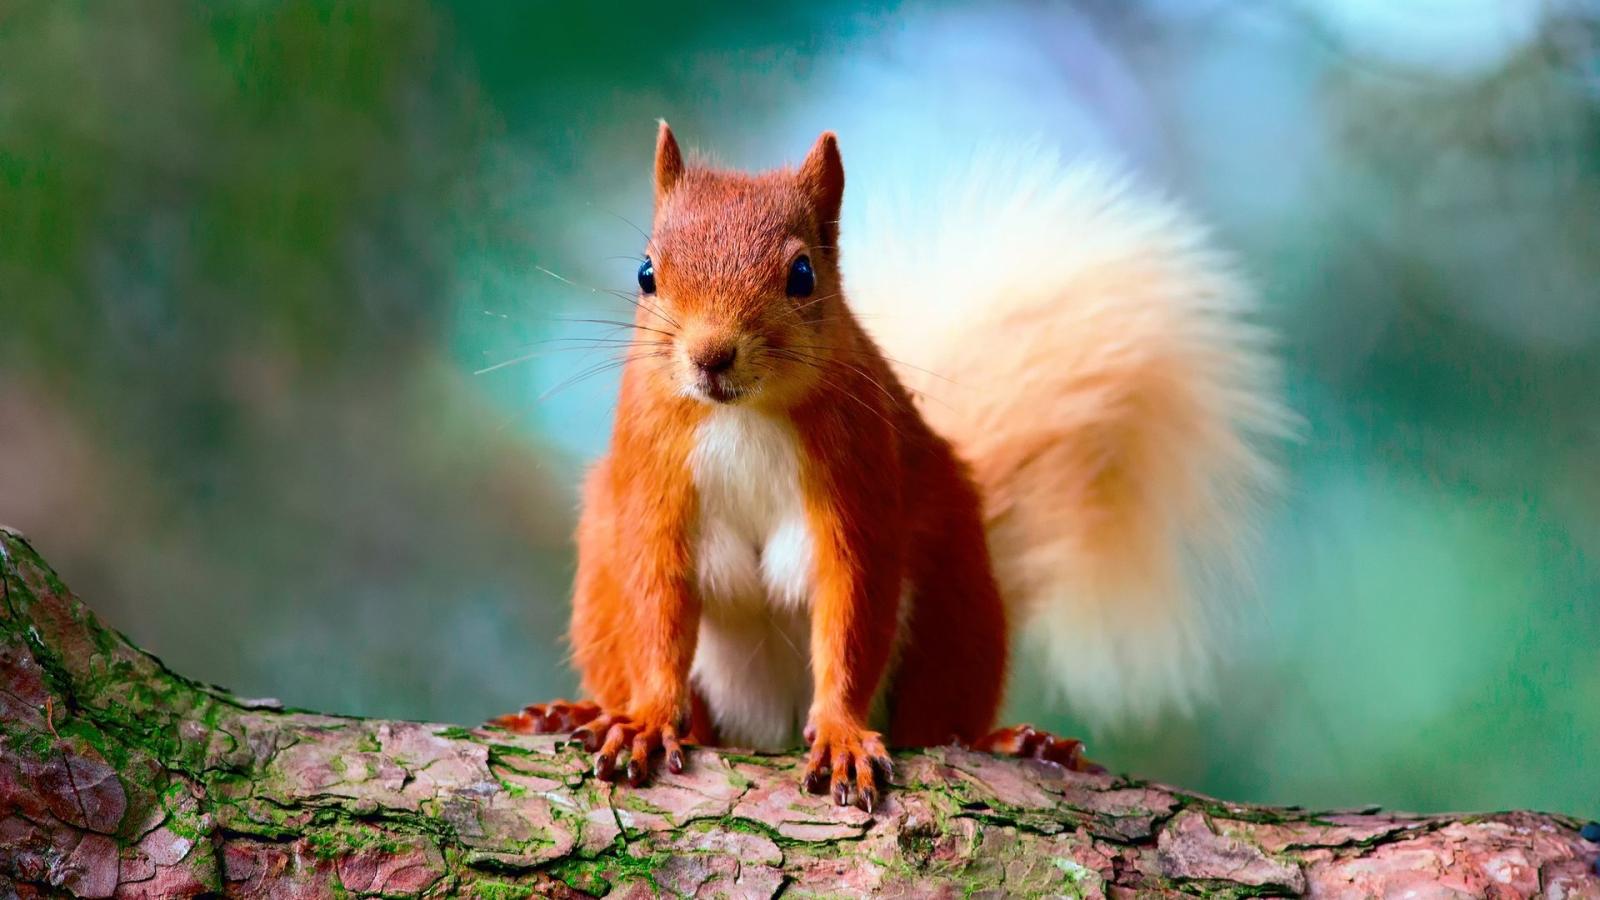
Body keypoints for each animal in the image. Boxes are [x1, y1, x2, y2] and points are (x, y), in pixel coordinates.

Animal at [492, 123, 1290, 812]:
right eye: (646, 272)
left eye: (803, 274)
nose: (710, 355)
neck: (741, 414)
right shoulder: (653, 482)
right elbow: (657, 605)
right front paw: (650, 719)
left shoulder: (860, 483)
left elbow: (852, 610)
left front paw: (843, 733)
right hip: (601, 562)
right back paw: (576, 711)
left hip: (956, 596)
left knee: (936, 721)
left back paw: (1016, 743)